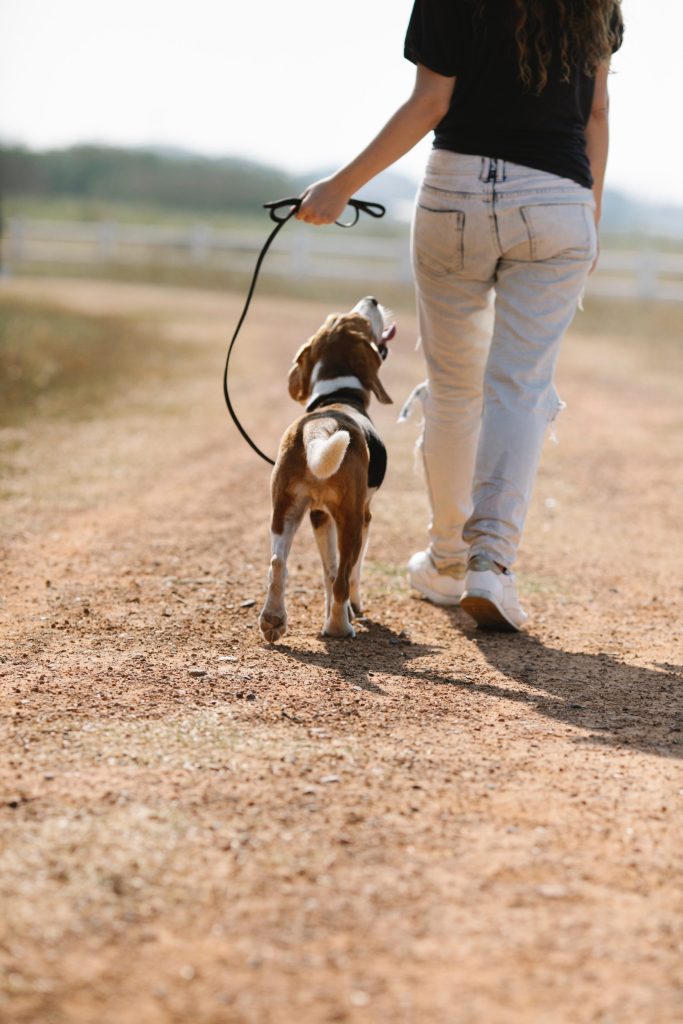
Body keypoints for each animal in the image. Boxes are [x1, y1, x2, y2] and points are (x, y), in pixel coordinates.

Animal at [255, 294, 395, 638]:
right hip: (351, 520)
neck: (337, 395)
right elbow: (349, 573)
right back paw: (339, 627)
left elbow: (328, 570)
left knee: (278, 563)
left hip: (285, 511)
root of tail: (321, 426)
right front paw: (353, 609)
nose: (372, 299)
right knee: (344, 577)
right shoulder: (363, 515)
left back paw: (273, 619)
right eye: (360, 321)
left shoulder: (319, 515)